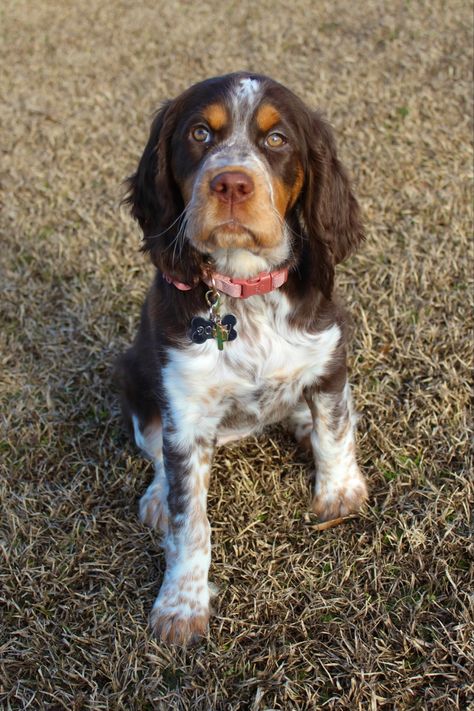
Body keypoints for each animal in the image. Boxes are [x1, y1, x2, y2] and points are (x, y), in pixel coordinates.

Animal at [116, 71, 368, 644]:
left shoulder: (329, 355)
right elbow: (190, 521)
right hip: (134, 375)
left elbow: (336, 429)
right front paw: (180, 607)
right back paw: (158, 497)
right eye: (199, 134)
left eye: (276, 140)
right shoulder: (184, 413)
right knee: (155, 454)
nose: (231, 183)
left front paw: (341, 494)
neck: (245, 291)